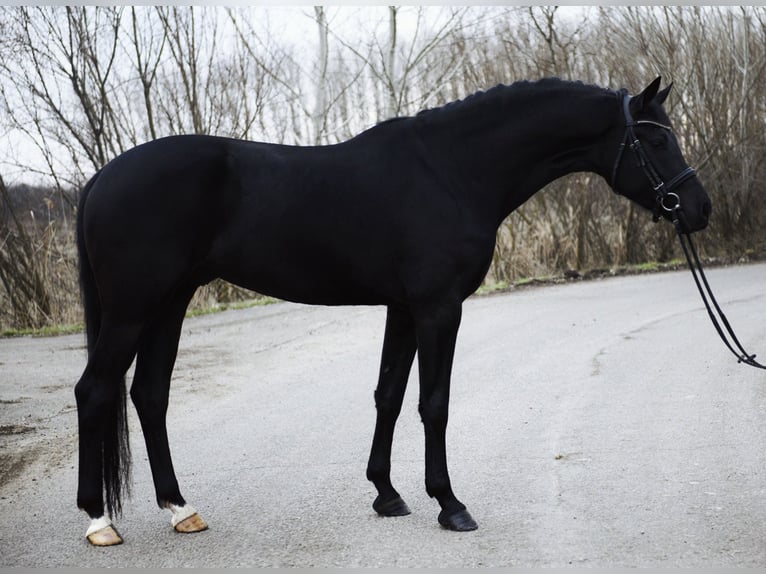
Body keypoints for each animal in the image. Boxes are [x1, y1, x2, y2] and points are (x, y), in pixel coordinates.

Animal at [74, 77, 711, 545]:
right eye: (656, 141)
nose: (698, 209)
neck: (453, 170)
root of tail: (102, 177)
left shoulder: (403, 308)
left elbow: (390, 394)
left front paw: (387, 494)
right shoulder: (439, 308)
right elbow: (434, 403)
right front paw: (450, 505)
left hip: (169, 303)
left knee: (149, 394)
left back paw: (181, 509)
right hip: (133, 309)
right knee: (96, 390)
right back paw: (99, 522)